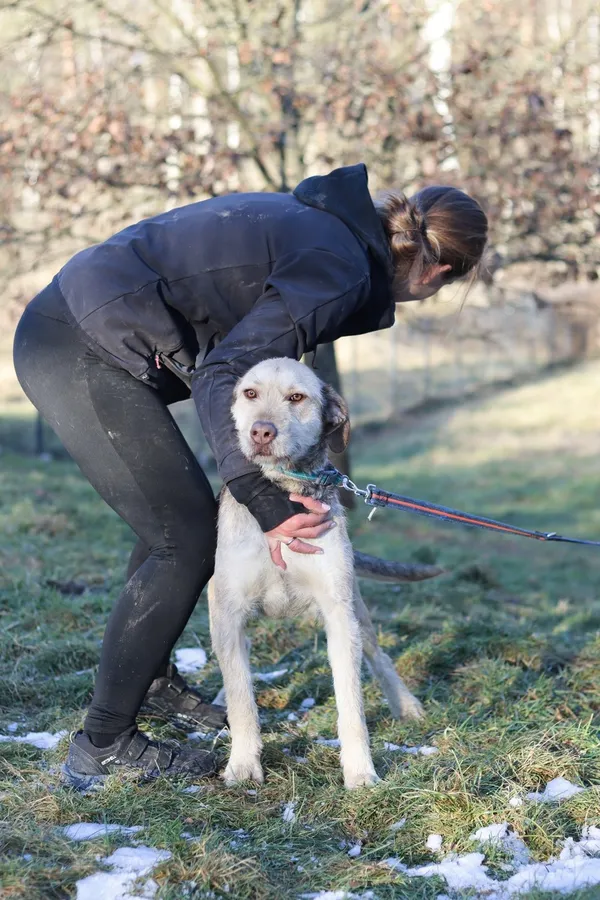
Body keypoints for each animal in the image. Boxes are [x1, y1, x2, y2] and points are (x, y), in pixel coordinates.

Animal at [206, 356, 440, 788]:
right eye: (250, 393)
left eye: (297, 397)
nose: (260, 430)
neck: (283, 492)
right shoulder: (229, 612)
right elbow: (242, 698)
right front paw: (243, 764)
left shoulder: (339, 613)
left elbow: (352, 704)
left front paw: (360, 771)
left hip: (358, 612)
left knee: (379, 656)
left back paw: (405, 704)